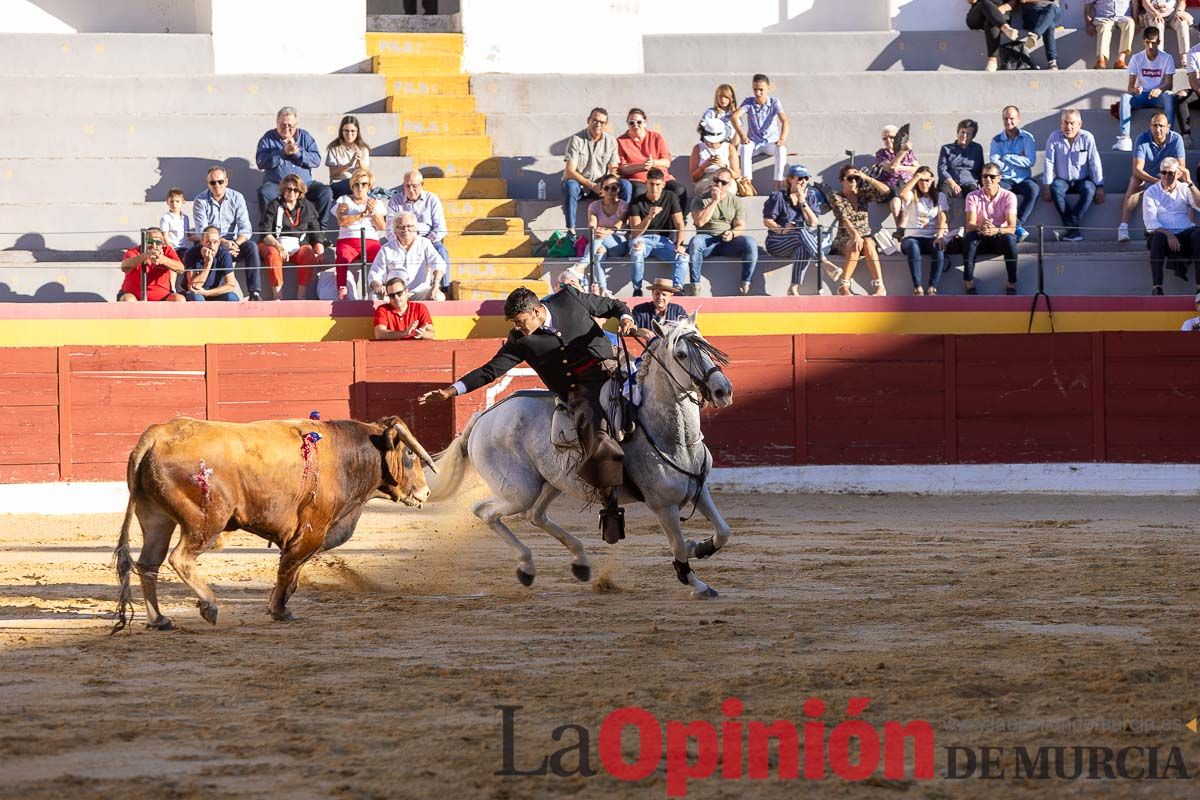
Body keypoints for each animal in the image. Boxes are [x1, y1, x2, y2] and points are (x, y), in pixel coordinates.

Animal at [111, 417, 436, 633]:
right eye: (410, 453)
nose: (425, 493)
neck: (347, 455)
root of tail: (158, 434)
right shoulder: (312, 530)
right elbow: (288, 568)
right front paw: (280, 611)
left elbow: (293, 574)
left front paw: (276, 606)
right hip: (206, 521)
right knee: (180, 558)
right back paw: (209, 605)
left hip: (156, 518)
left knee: (148, 564)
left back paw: (159, 620)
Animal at [427, 316, 734, 597]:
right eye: (681, 354)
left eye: (706, 345)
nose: (723, 390)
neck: (673, 438)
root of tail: (483, 417)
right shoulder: (663, 505)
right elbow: (677, 546)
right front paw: (697, 583)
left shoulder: (699, 490)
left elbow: (723, 531)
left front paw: (700, 547)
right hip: (519, 490)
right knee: (486, 511)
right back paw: (527, 566)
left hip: (554, 481)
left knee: (535, 515)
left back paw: (580, 562)